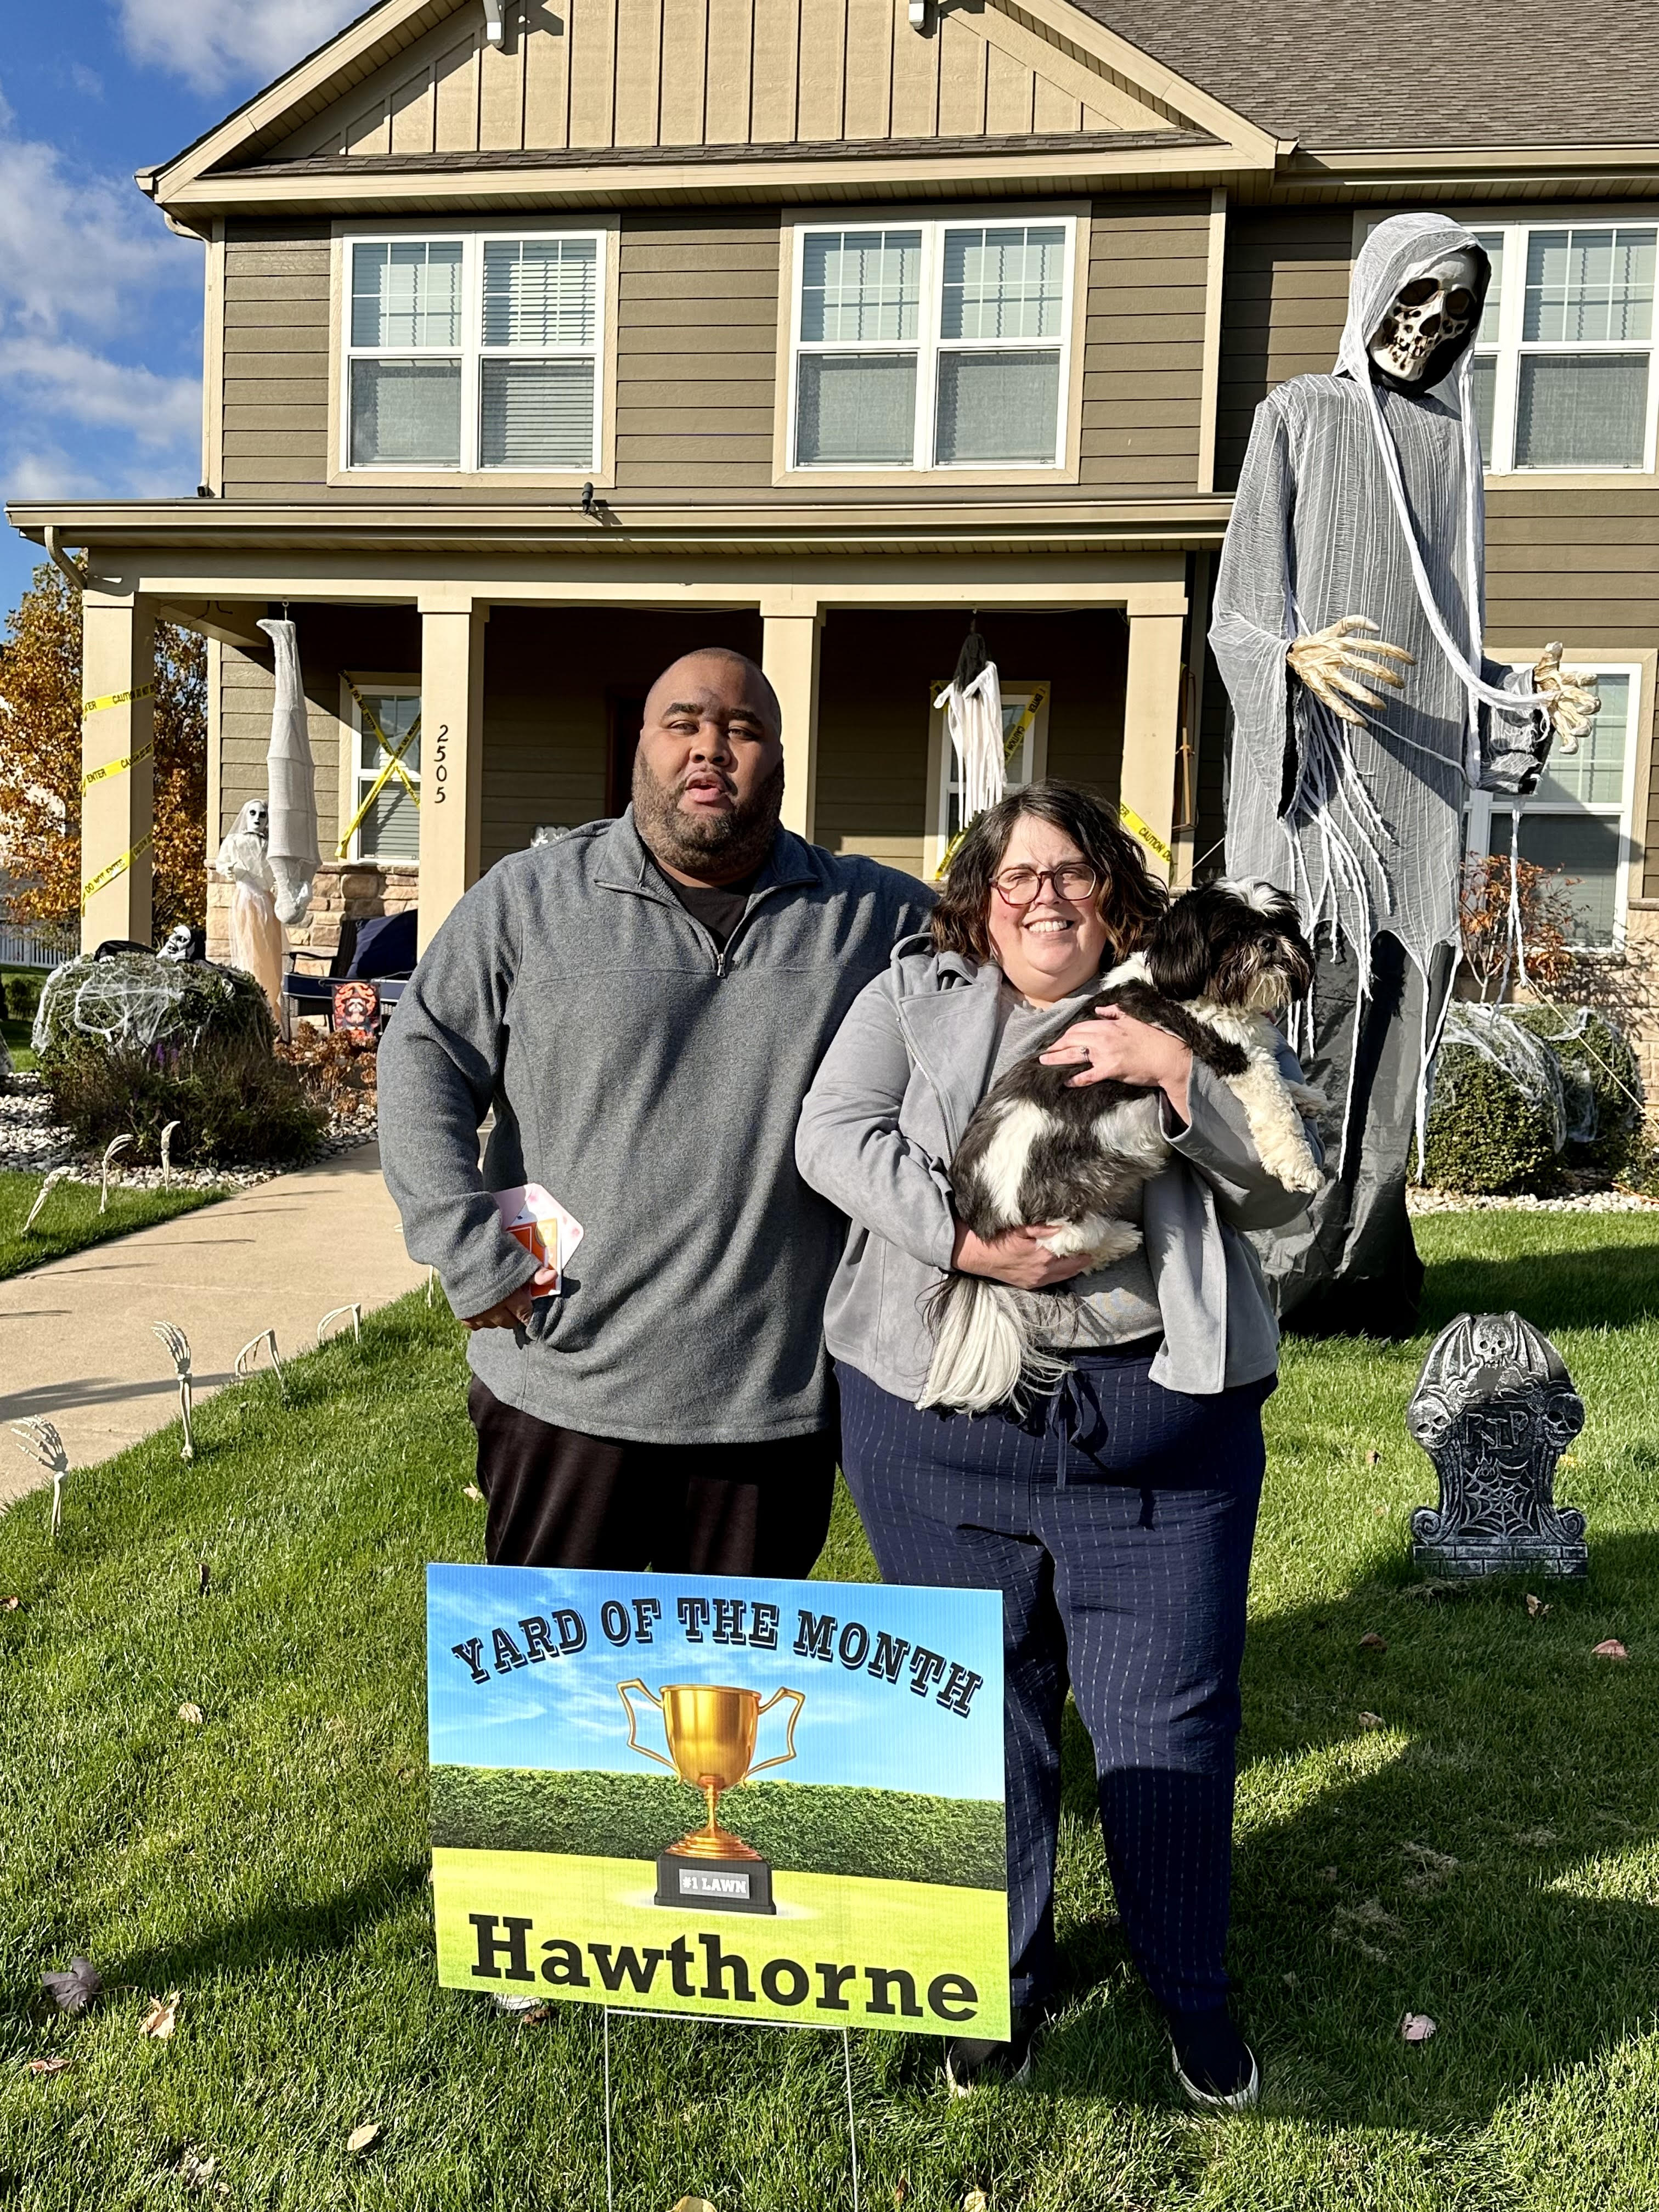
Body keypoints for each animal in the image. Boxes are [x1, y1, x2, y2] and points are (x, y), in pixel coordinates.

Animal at [924, 871, 1327, 1407]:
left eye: (1278, 924)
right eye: (1232, 933)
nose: (1268, 943)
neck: (1188, 984)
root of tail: (979, 1208)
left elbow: (1285, 1089)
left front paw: (1310, 1096)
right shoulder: (1230, 1055)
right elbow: (1274, 1102)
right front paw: (1300, 1165)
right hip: (1081, 1168)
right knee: (1065, 1237)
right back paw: (1119, 1238)